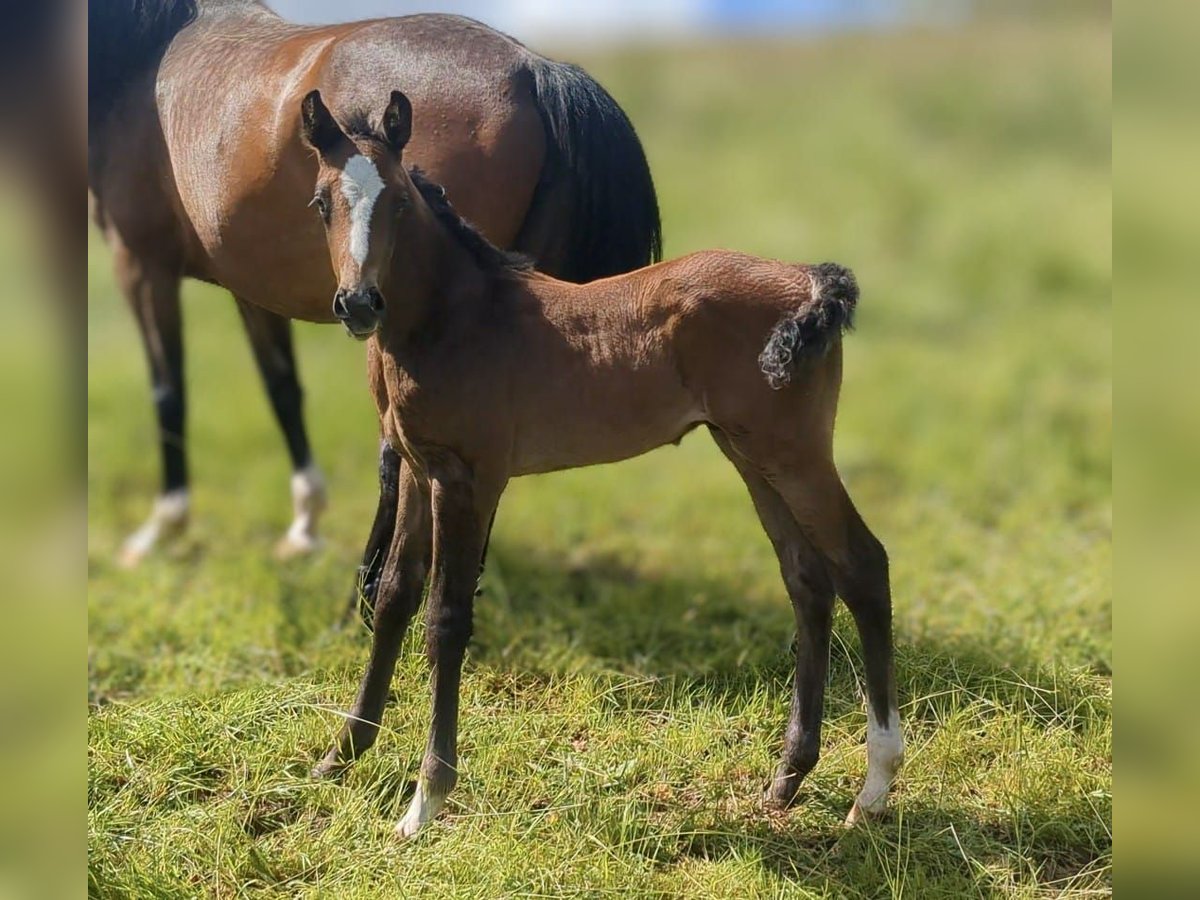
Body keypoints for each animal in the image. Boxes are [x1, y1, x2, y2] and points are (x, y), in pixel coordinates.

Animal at [87, 0, 662, 566]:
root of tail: (533, 69)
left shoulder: (140, 262)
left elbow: (168, 391)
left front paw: (162, 529)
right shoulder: (250, 283)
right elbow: (282, 388)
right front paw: (304, 527)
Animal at [300, 91, 902, 840]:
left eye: (401, 204)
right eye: (322, 202)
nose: (358, 304)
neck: (456, 317)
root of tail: (808, 281)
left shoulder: (469, 478)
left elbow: (446, 617)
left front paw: (425, 800)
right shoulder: (415, 467)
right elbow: (392, 598)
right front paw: (341, 755)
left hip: (793, 454)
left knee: (862, 565)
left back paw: (874, 787)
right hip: (748, 453)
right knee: (808, 579)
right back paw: (787, 779)